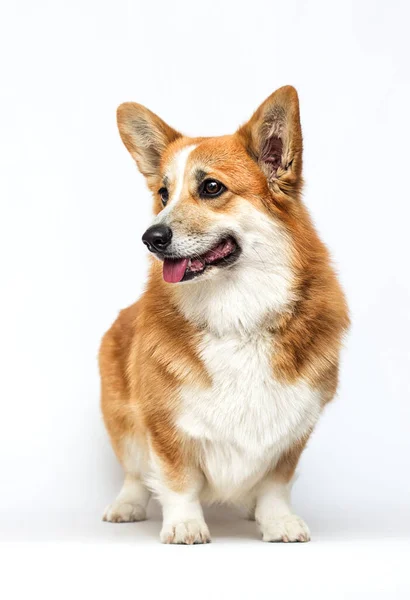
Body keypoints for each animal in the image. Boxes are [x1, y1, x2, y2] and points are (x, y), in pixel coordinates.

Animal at [100, 85, 350, 544]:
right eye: (163, 194)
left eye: (212, 187)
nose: (150, 237)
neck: (238, 314)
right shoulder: (164, 424)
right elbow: (177, 479)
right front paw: (184, 525)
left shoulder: (294, 431)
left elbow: (275, 483)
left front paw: (278, 521)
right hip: (121, 420)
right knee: (134, 472)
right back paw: (127, 505)